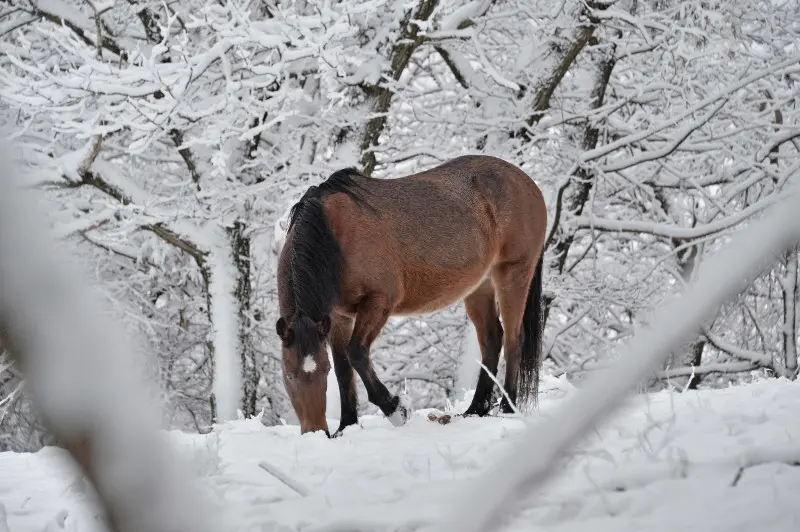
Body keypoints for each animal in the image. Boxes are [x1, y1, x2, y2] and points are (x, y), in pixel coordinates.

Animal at [276, 154, 552, 436]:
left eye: (323, 371)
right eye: (289, 374)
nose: (315, 431)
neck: (334, 235)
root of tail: (528, 184)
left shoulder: (378, 303)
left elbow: (357, 354)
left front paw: (395, 409)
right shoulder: (339, 317)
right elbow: (344, 370)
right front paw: (346, 426)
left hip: (513, 274)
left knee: (513, 339)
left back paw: (508, 409)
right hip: (479, 287)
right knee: (492, 340)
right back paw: (476, 409)